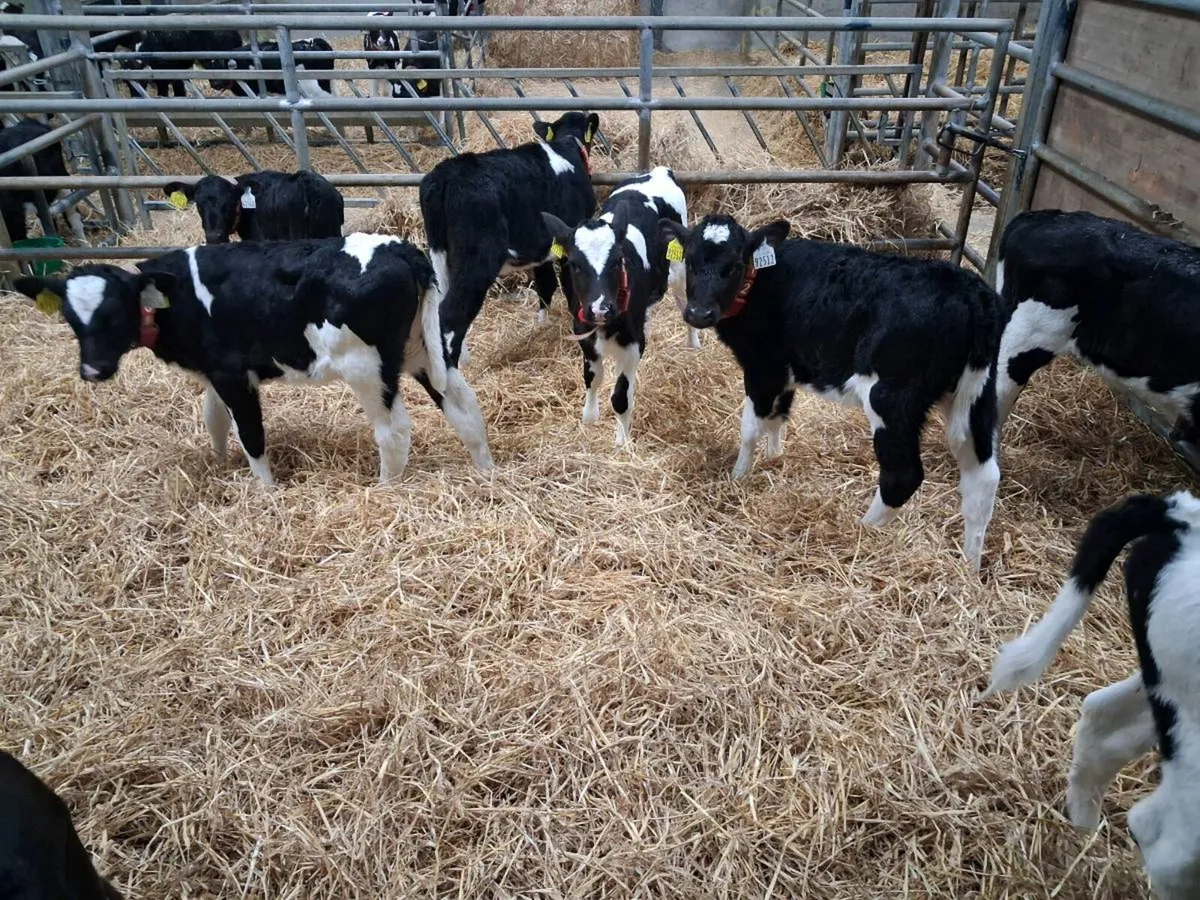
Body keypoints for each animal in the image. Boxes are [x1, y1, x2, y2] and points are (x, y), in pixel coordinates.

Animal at [12, 235, 493, 484]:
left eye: (114, 312)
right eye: (70, 318)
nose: (93, 370)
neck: (175, 299)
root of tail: (400, 248)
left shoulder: (231, 372)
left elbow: (251, 434)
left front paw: (265, 491)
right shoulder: (211, 372)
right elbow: (214, 420)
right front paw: (220, 465)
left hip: (367, 367)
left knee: (393, 431)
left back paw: (385, 488)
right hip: (423, 350)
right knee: (464, 408)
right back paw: (486, 472)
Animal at [419, 109, 599, 373]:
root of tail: (445, 172)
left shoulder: (542, 248)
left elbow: (546, 284)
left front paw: (541, 325)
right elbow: (569, 287)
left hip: (441, 255)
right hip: (476, 262)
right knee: (450, 314)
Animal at [540, 165, 690, 445]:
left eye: (617, 260)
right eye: (574, 264)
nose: (601, 308)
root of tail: (658, 171)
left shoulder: (633, 345)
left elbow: (621, 396)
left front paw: (622, 441)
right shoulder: (583, 333)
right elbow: (591, 378)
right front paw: (589, 417)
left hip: (679, 266)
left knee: (684, 298)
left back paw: (692, 343)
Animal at [660, 213, 1005, 571]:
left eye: (736, 265)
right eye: (691, 260)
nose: (699, 313)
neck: (760, 284)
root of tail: (971, 293)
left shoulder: (763, 367)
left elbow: (751, 428)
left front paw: (738, 476)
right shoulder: (787, 370)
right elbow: (778, 416)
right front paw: (774, 458)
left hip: (891, 398)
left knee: (902, 474)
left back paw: (864, 530)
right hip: (976, 394)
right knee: (982, 478)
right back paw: (969, 566)